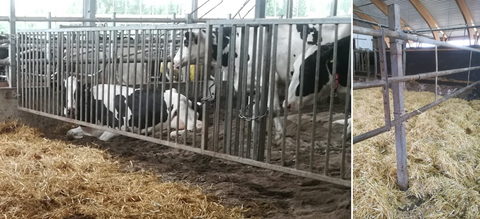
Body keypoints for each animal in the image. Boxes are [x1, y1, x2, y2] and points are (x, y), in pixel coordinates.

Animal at [60, 75, 202, 141]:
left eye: (78, 92)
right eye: (63, 91)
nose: (70, 109)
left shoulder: (120, 127)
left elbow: (101, 138)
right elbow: (69, 132)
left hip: (181, 106)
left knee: (194, 126)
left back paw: (174, 134)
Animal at [172, 23, 348, 137]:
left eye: (186, 42)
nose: (173, 61)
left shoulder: (268, 79)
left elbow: (274, 108)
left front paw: (279, 134)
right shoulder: (252, 83)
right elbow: (254, 108)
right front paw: (254, 132)